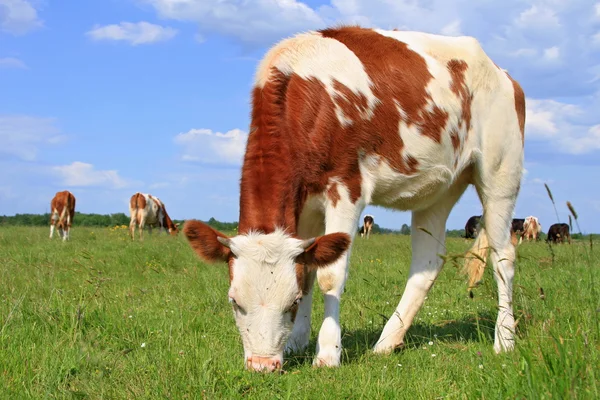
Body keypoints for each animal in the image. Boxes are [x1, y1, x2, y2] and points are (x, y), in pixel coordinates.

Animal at [183, 26, 524, 374]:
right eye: (234, 301)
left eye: (291, 303)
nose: (263, 366)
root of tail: (501, 73)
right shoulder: (304, 205)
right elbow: (308, 269)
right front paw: (296, 344)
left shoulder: (346, 189)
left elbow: (329, 276)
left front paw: (327, 354)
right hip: (440, 189)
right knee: (427, 264)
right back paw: (387, 342)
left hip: (500, 172)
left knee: (504, 256)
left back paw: (504, 339)